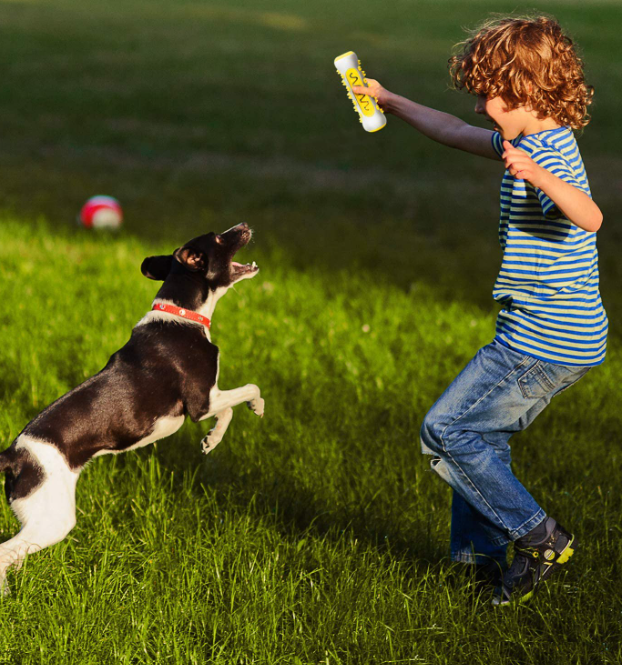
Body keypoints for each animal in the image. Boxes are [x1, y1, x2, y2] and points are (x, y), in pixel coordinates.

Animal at [0, 222, 264, 592]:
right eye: (218, 237)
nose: (243, 226)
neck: (182, 314)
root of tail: (14, 456)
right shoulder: (201, 401)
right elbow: (248, 389)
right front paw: (257, 406)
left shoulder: (207, 401)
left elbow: (226, 411)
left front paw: (211, 441)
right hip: (54, 519)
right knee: (4, 553)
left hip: (38, 519)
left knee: (14, 554)